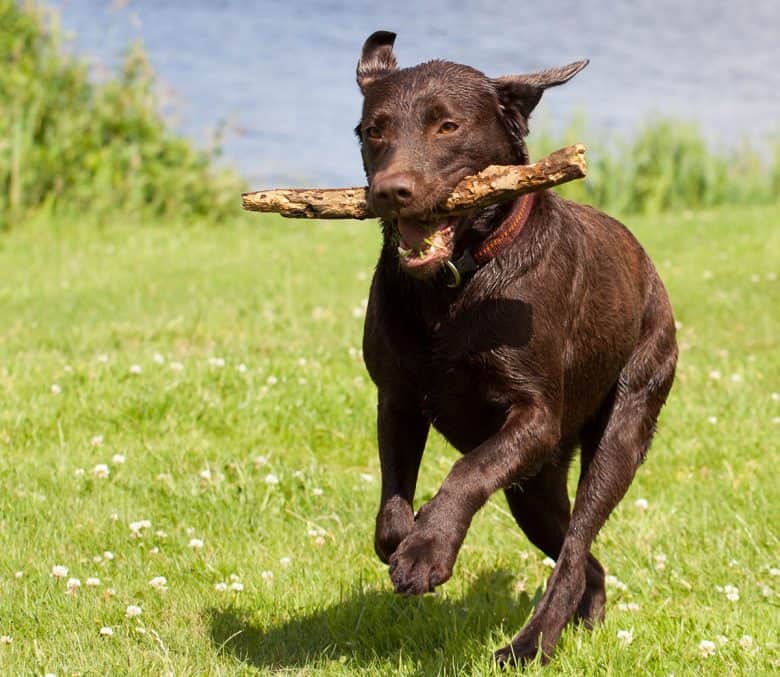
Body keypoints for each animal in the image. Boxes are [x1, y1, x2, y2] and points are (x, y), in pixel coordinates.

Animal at [354, 30, 676, 660]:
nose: (390, 192)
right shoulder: (396, 399)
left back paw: (529, 646)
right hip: (533, 490)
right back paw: (581, 623)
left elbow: (468, 470)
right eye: (373, 130)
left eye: (447, 126)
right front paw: (409, 535)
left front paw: (428, 550)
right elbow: (391, 505)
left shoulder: (535, 417)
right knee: (584, 559)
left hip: (623, 426)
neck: (457, 283)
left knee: (574, 553)